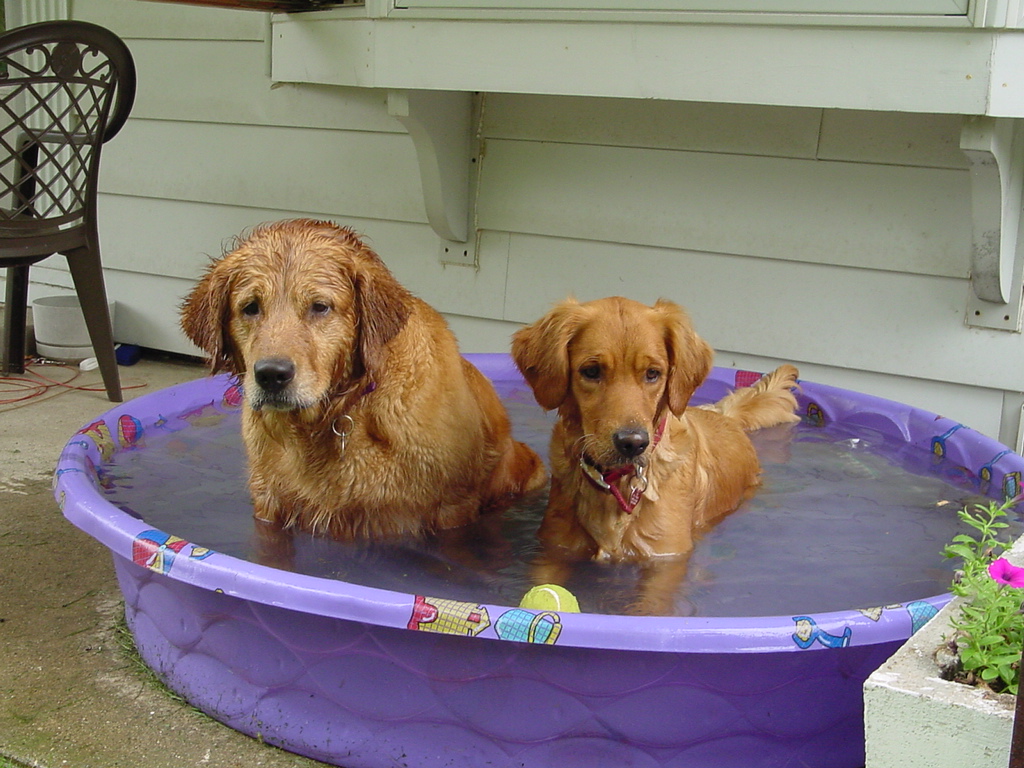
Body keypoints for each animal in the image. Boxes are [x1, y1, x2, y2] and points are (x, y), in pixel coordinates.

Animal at [180, 217, 548, 540]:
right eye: (250, 307)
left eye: (320, 306)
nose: (271, 375)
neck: (337, 414)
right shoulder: (268, 502)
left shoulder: (451, 509)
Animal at [512, 296, 798, 618]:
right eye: (592, 371)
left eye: (652, 373)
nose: (632, 443)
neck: (616, 484)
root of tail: (724, 415)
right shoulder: (554, 549)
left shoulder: (664, 561)